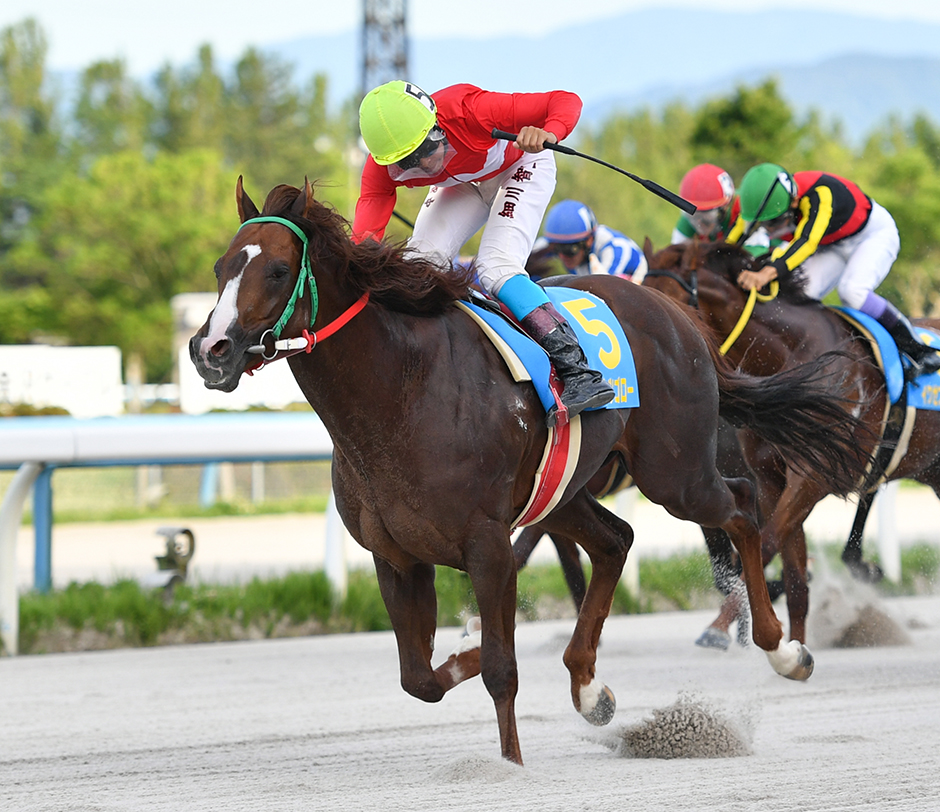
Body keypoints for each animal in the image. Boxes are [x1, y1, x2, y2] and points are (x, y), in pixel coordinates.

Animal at [189, 181, 868, 764]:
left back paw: (782, 648)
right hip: (566, 491)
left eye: (278, 271)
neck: (401, 389)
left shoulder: (487, 543)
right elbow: (421, 678)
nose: (210, 350)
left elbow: (500, 667)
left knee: (744, 507)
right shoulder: (397, 554)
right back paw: (589, 688)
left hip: (675, 473)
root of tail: (675, 313)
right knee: (616, 540)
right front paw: (474, 652)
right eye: (221, 268)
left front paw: (510, 764)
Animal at [644, 238, 940, 644]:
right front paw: (796, 648)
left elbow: (764, 545)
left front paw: (719, 628)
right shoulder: (771, 480)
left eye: (667, 302)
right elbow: (795, 578)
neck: (789, 356)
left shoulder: (812, 476)